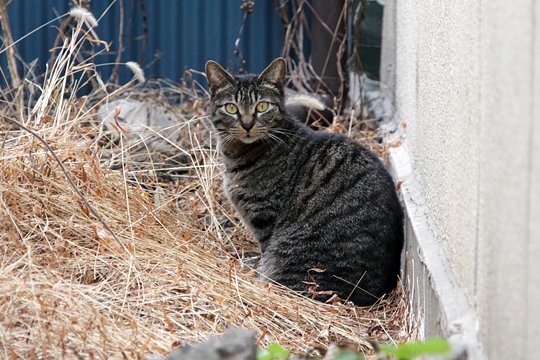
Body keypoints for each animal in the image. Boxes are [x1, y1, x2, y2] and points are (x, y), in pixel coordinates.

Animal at [205, 57, 402, 306]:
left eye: (262, 106)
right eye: (231, 108)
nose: (248, 124)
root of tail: (372, 296)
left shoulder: (264, 217)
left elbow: (263, 252)